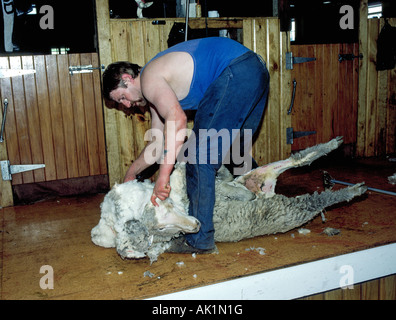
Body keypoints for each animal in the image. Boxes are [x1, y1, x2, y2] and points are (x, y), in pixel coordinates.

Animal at [91, 138, 366, 262]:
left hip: (257, 173)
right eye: (158, 231)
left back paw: (330, 147)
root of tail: (269, 190)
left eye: (167, 205)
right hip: (288, 209)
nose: (196, 225)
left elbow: (218, 178)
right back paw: (354, 190)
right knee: (318, 198)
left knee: (297, 159)